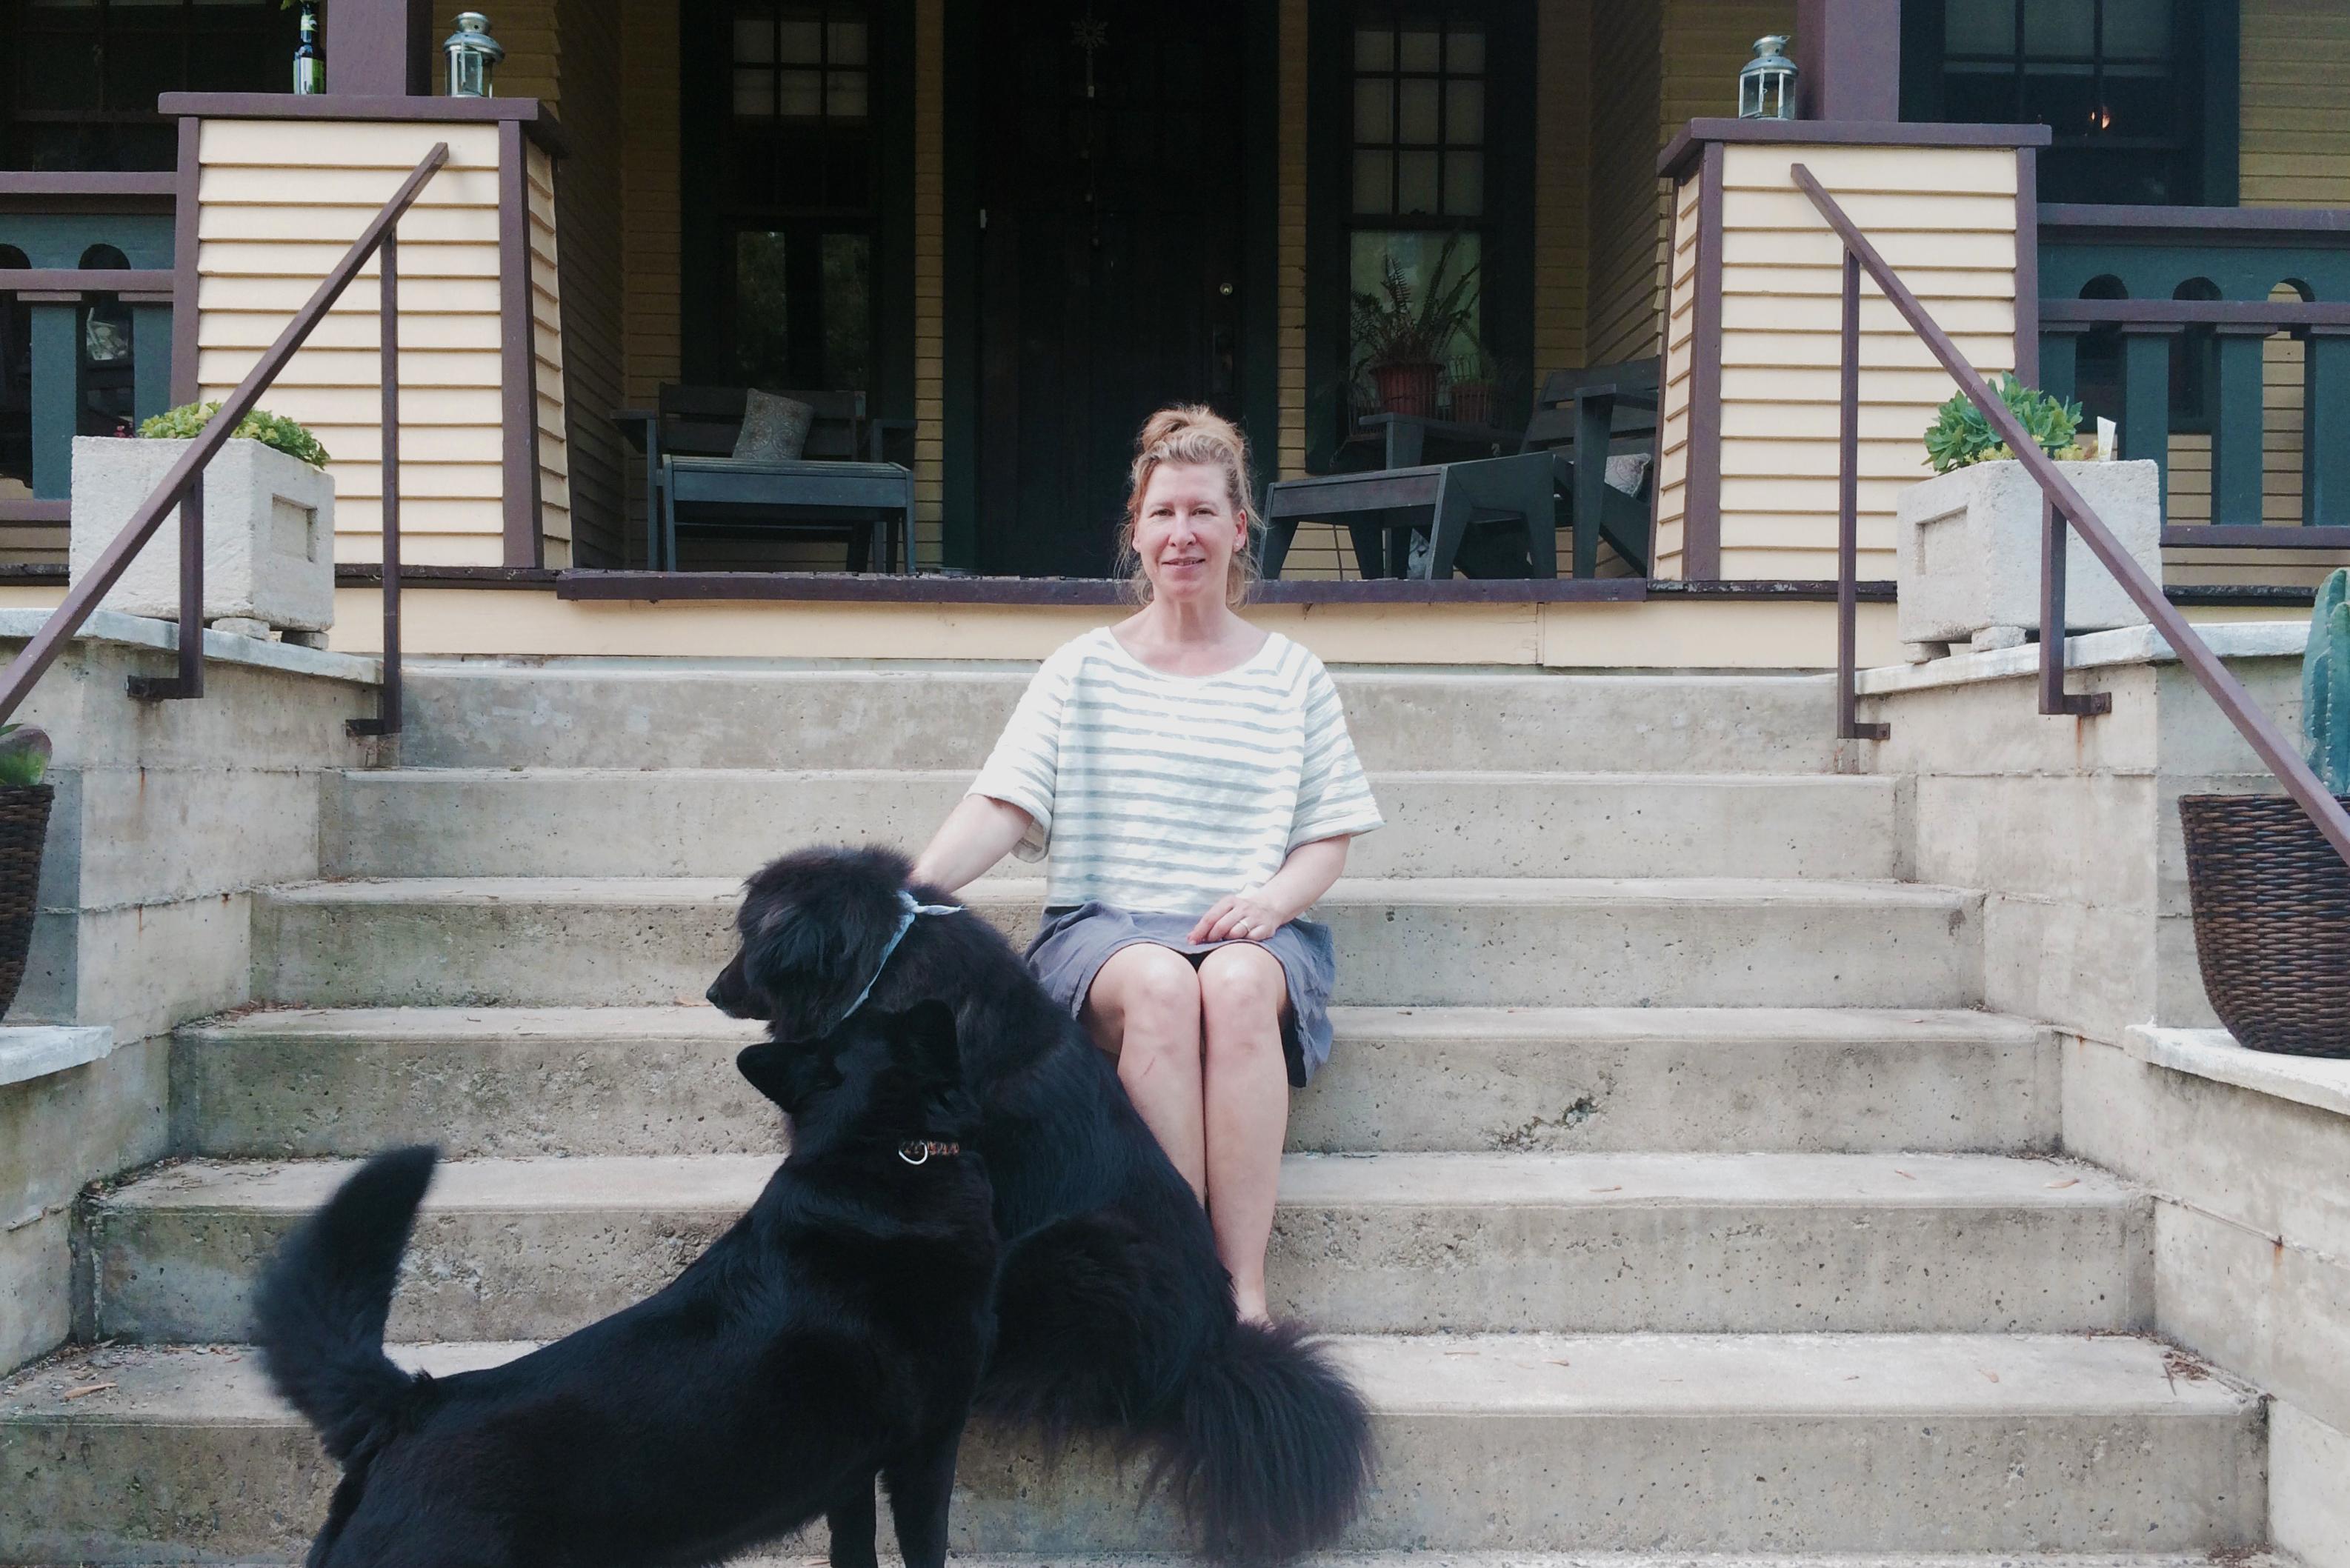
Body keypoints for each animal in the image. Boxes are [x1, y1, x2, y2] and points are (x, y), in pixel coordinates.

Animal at [250, 1006, 1001, 1568]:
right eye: (894, 1015)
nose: (941, 995)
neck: (877, 1150)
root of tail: (409, 1404)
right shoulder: (925, 1450)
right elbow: (925, 1548)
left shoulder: (851, 1481)